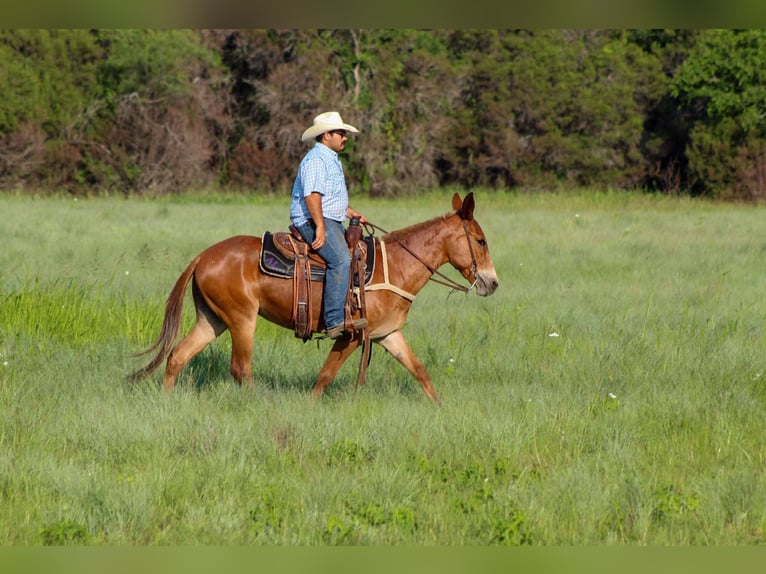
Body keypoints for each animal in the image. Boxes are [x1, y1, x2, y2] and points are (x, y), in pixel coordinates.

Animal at [128, 192, 498, 403]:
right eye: (480, 240)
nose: (492, 283)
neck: (395, 267)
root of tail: (203, 256)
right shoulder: (351, 335)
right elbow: (325, 376)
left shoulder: (387, 334)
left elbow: (420, 371)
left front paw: (440, 408)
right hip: (241, 320)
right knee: (240, 368)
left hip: (213, 319)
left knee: (178, 356)